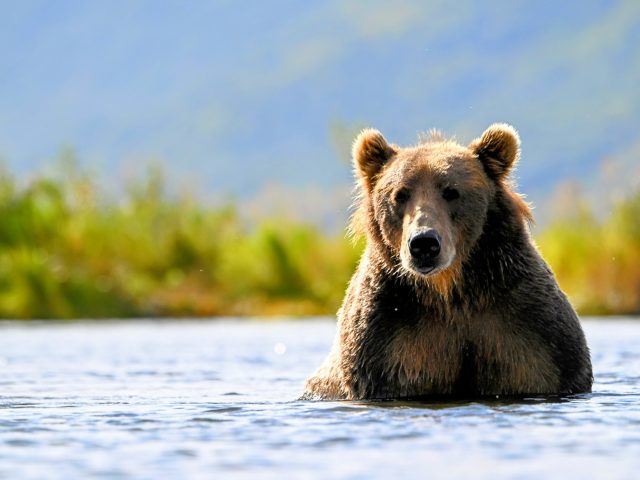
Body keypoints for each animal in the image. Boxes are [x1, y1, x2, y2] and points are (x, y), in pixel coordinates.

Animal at [302, 123, 593, 400]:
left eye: (451, 191)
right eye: (400, 194)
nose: (423, 244)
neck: (449, 292)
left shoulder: (524, 328)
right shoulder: (388, 335)